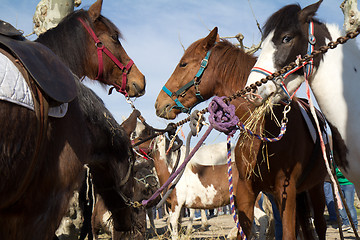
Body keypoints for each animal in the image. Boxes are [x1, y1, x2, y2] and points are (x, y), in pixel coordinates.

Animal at [155, 27, 330, 239]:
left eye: (183, 64)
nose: (159, 103)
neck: (265, 126)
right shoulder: (246, 190)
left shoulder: (285, 190)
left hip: (315, 188)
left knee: (319, 224)